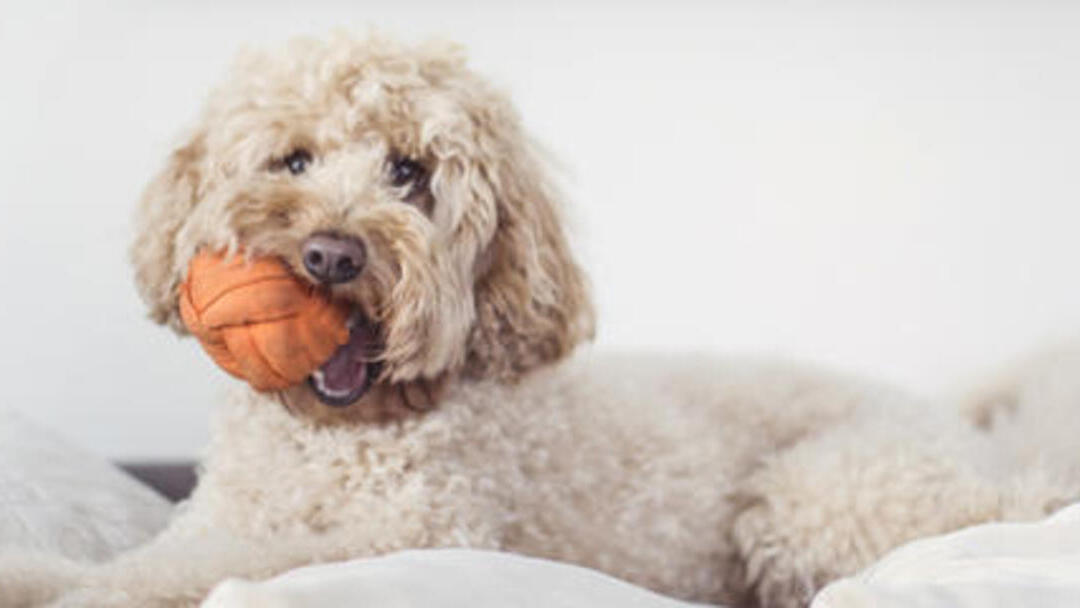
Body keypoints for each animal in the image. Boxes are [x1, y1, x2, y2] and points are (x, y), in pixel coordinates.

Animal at [4, 33, 1075, 608]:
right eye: (293, 160)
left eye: (409, 172)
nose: (333, 256)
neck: (339, 438)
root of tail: (984, 446)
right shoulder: (221, 514)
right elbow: (156, 553)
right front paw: (35, 571)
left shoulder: (409, 533)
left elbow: (206, 571)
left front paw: (90, 592)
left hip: (819, 490)